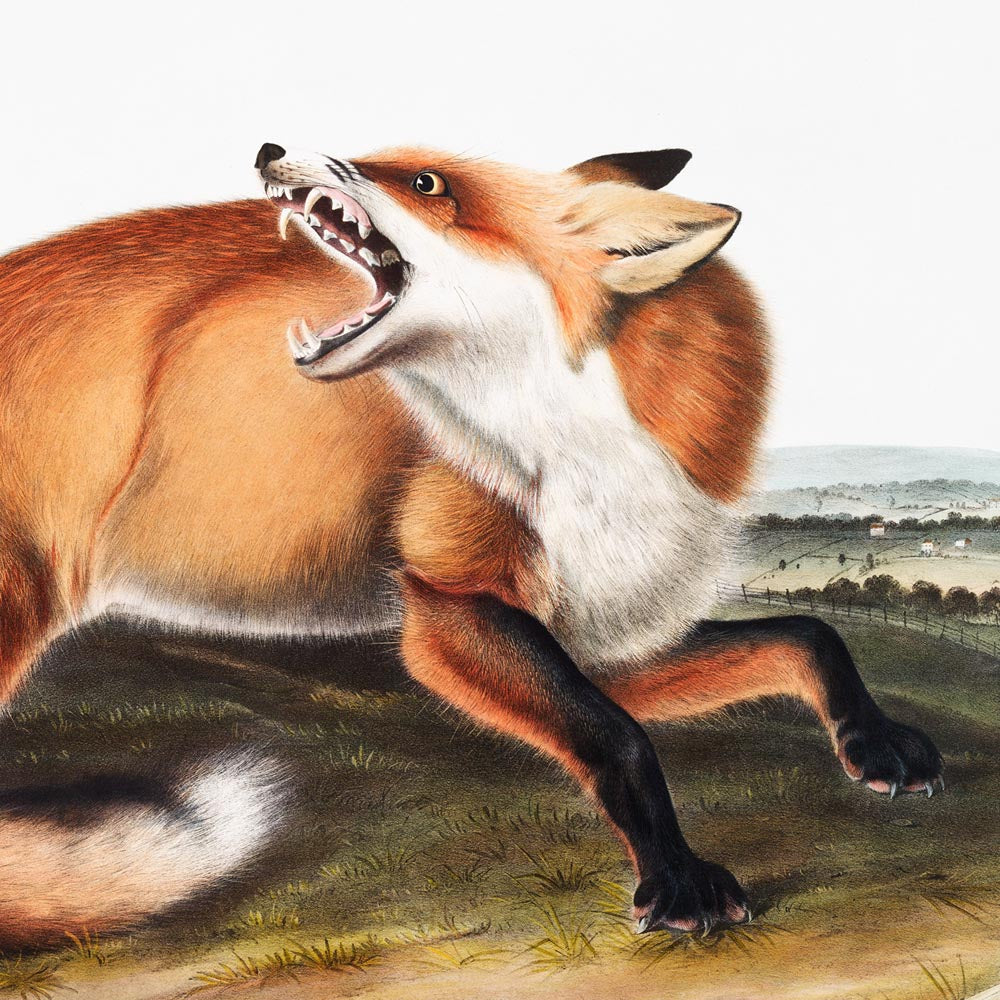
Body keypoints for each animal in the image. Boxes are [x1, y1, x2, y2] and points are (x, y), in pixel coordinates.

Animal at [0, 140, 943, 946]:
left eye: (427, 183)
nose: (270, 149)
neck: (583, 446)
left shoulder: (601, 635)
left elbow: (805, 635)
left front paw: (872, 741)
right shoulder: (449, 599)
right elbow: (621, 740)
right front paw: (676, 878)